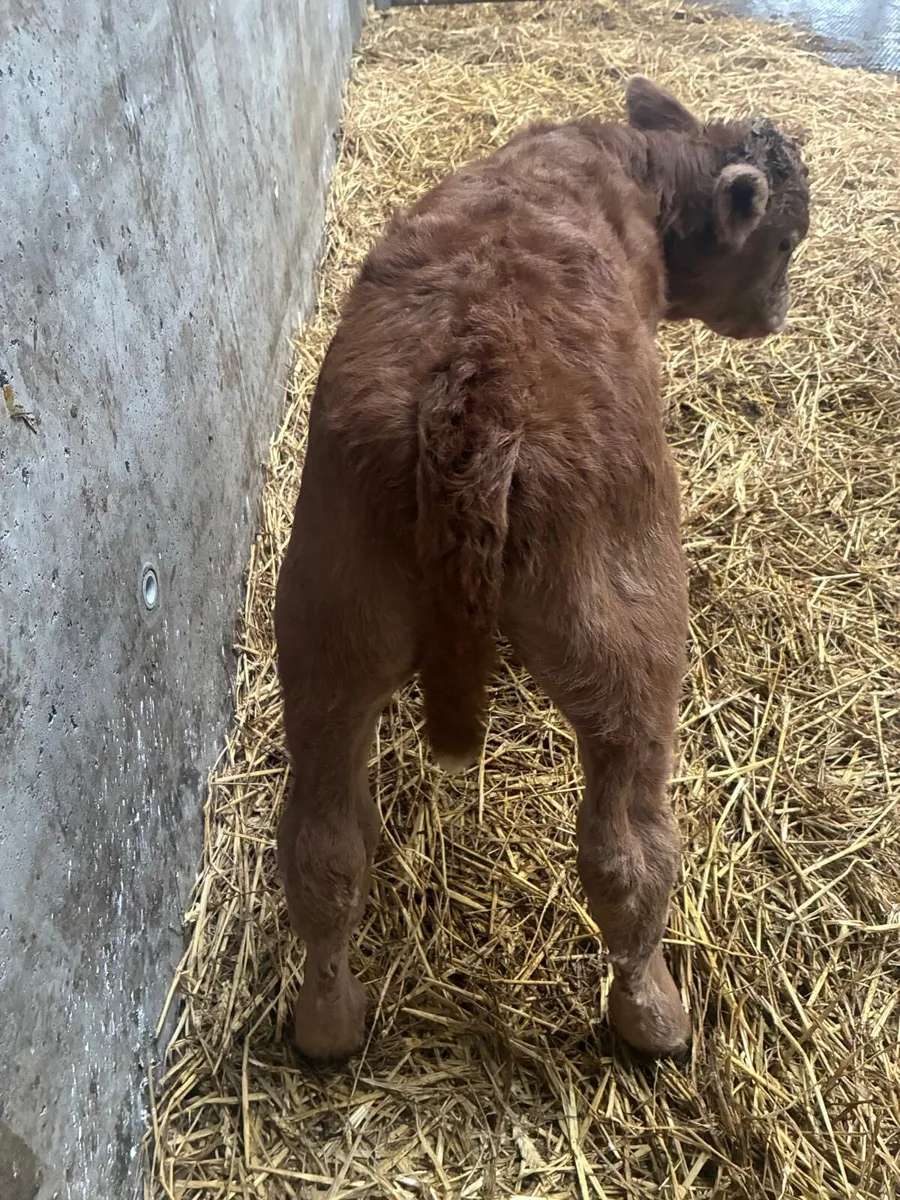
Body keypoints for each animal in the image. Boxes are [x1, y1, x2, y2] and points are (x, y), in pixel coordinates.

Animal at [274, 78, 810, 1062]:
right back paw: (654, 1018)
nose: (776, 314)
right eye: (785, 241)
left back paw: (328, 1023)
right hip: (630, 643)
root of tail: (473, 386)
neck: (626, 173)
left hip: (328, 618)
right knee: (626, 852)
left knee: (322, 843)